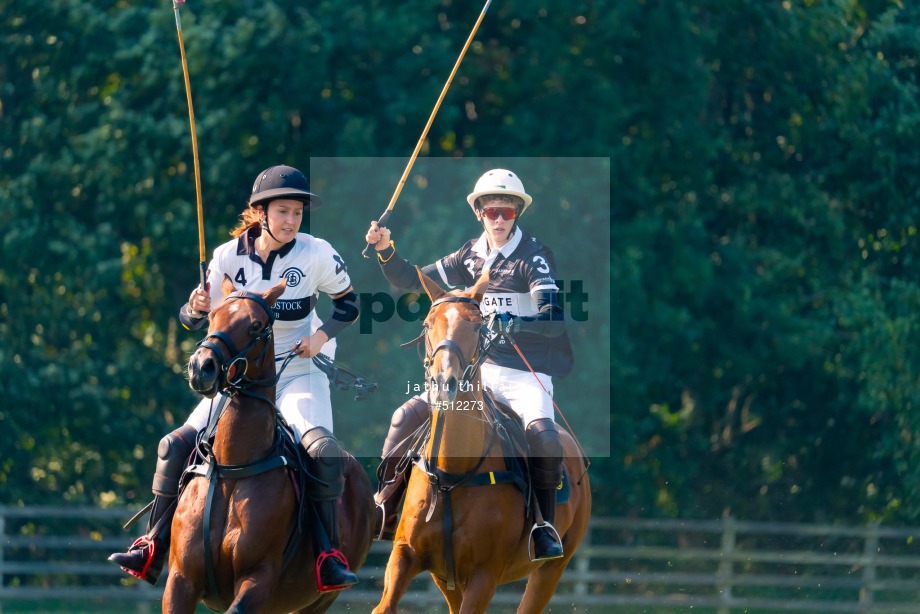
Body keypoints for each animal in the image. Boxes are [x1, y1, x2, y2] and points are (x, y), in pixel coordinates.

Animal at [167, 280, 376, 614]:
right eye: (211, 316)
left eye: (255, 325)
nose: (201, 367)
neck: (233, 467)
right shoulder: (180, 579)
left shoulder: (258, 579)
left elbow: (347, 302)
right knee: (170, 445)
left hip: (316, 600)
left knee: (323, 452)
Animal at [372, 274, 592, 614]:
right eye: (427, 324)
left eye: (477, 327)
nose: (443, 383)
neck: (450, 475)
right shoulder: (405, 554)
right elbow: (384, 606)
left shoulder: (484, 576)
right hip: (446, 579)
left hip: (554, 566)